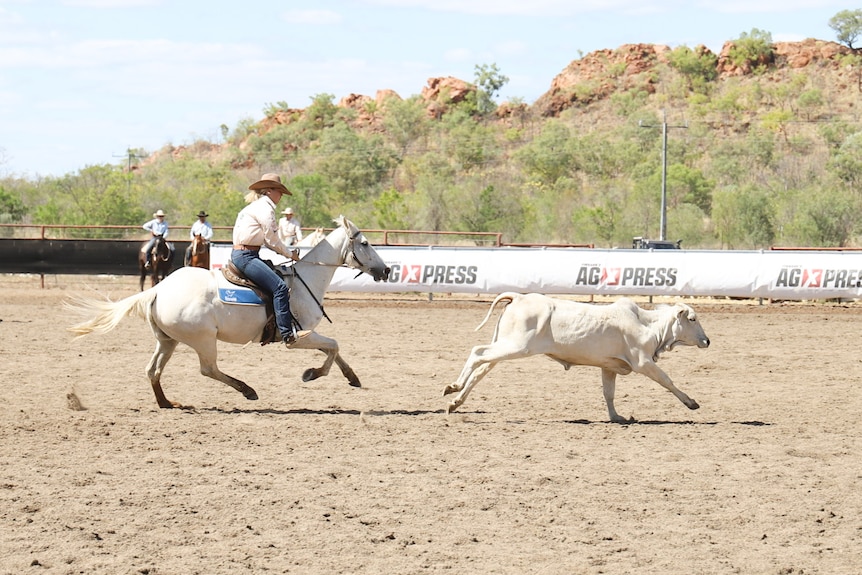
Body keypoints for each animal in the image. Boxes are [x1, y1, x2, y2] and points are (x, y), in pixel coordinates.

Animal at [67, 216, 392, 410]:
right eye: (365, 243)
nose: (386, 269)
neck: (303, 281)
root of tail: (158, 290)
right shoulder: (298, 337)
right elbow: (333, 347)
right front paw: (312, 374)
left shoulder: (307, 334)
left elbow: (334, 350)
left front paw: (352, 377)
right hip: (202, 339)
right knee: (208, 369)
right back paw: (247, 390)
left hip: (167, 340)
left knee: (153, 369)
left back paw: (168, 403)